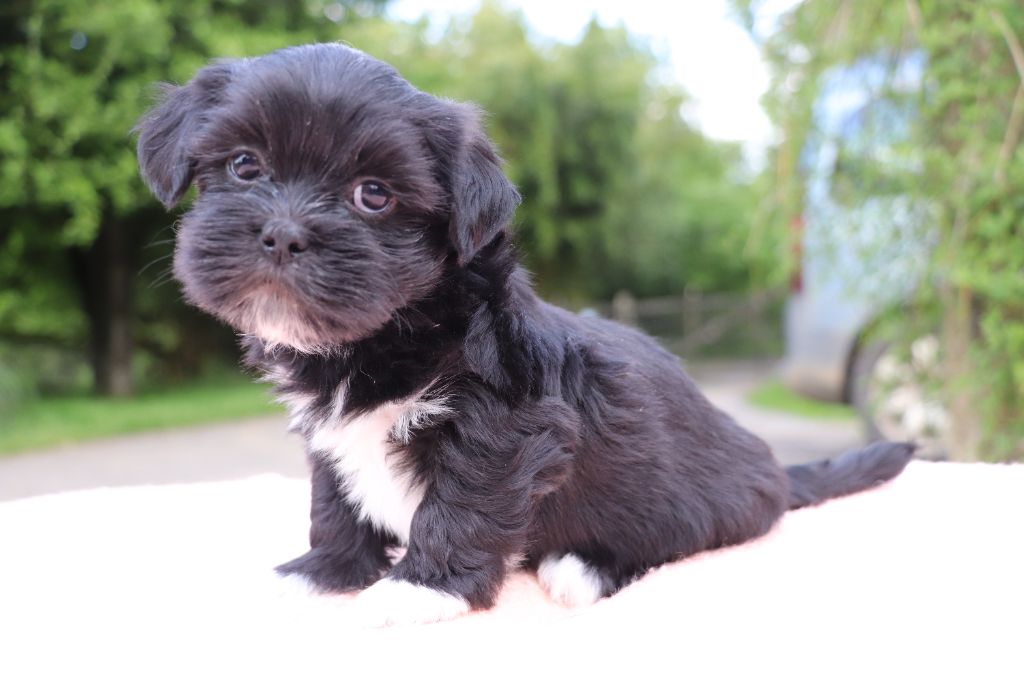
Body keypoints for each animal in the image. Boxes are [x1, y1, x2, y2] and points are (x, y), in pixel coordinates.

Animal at [135, 43, 913, 626]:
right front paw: (324, 572)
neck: (392, 331)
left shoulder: (506, 421)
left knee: (685, 537)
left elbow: (463, 504)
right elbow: (335, 503)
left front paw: (419, 589)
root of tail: (771, 467)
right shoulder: (332, 440)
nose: (284, 233)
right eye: (245, 165)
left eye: (373, 195)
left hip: (696, 499)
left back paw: (582, 566)